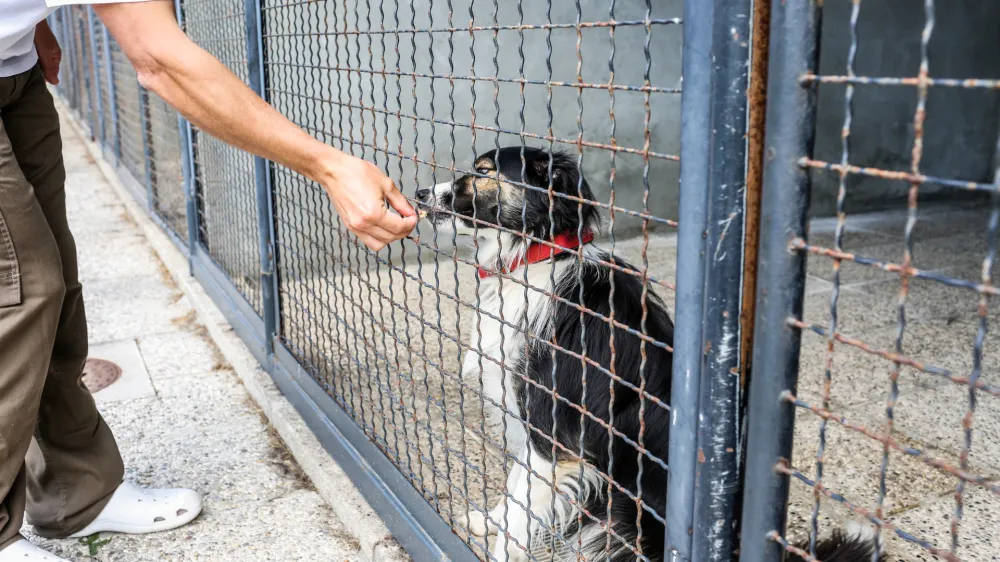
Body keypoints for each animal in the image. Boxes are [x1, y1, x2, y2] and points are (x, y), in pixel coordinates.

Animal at [414, 145, 884, 560]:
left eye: (483, 171)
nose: (419, 194)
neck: (536, 257)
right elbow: (515, 491)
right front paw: (489, 519)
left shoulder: (555, 431)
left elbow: (521, 507)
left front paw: (500, 544)